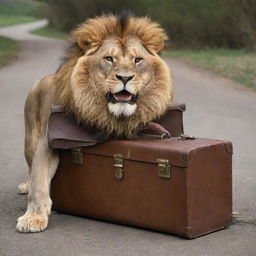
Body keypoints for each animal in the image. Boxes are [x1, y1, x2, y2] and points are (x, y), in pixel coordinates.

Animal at [15, 15, 172, 233]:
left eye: (137, 60)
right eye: (109, 59)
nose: (125, 78)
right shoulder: (47, 141)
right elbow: (39, 180)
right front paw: (33, 218)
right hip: (30, 139)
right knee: (31, 167)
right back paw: (25, 185)